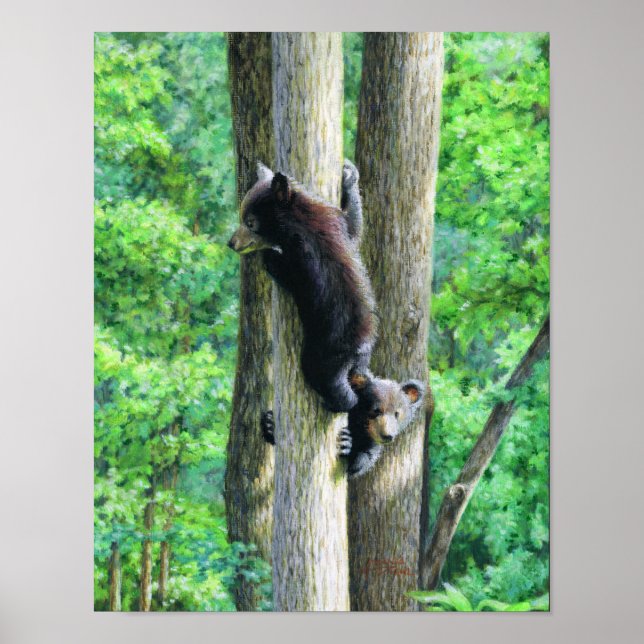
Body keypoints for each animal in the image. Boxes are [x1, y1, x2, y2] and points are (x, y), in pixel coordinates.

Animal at [228, 160, 376, 412]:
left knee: (324, 378)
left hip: (325, 352)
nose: (231, 243)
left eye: (250, 222)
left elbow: (292, 276)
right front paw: (349, 175)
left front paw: (271, 255)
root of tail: (357, 350)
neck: (300, 218)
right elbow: (354, 226)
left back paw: (336, 403)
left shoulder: (304, 254)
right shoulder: (333, 219)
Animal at [260, 375, 428, 477]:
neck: (359, 425)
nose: (387, 435)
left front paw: (346, 443)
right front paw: (269, 423)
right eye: (376, 410)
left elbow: (364, 460)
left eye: (397, 413)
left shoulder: (369, 441)